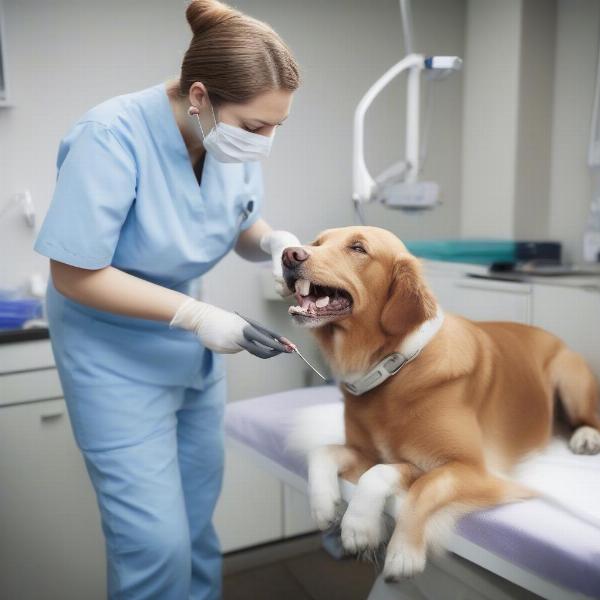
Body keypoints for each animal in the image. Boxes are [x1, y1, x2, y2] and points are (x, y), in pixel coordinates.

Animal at [282, 225, 600, 580]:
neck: (395, 367)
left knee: (590, 418)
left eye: (358, 248)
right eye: (317, 243)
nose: (288, 254)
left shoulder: (476, 470)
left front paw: (397, 549)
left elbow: (419, 486)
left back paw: (585, 437)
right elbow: (330, 453)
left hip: (568, 372)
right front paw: (329, 507)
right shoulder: (370, 453)